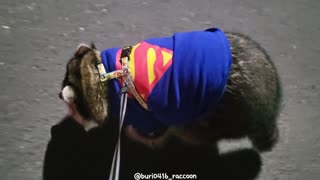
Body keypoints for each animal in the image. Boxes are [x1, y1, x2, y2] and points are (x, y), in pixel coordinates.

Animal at [60, 28, 282, 152]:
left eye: (72, 109)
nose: (59, 95)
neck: (101, 72)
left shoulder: (143, 110)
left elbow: (155, 128)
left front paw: (137, 135)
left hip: (224, 111)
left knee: (193, 127)